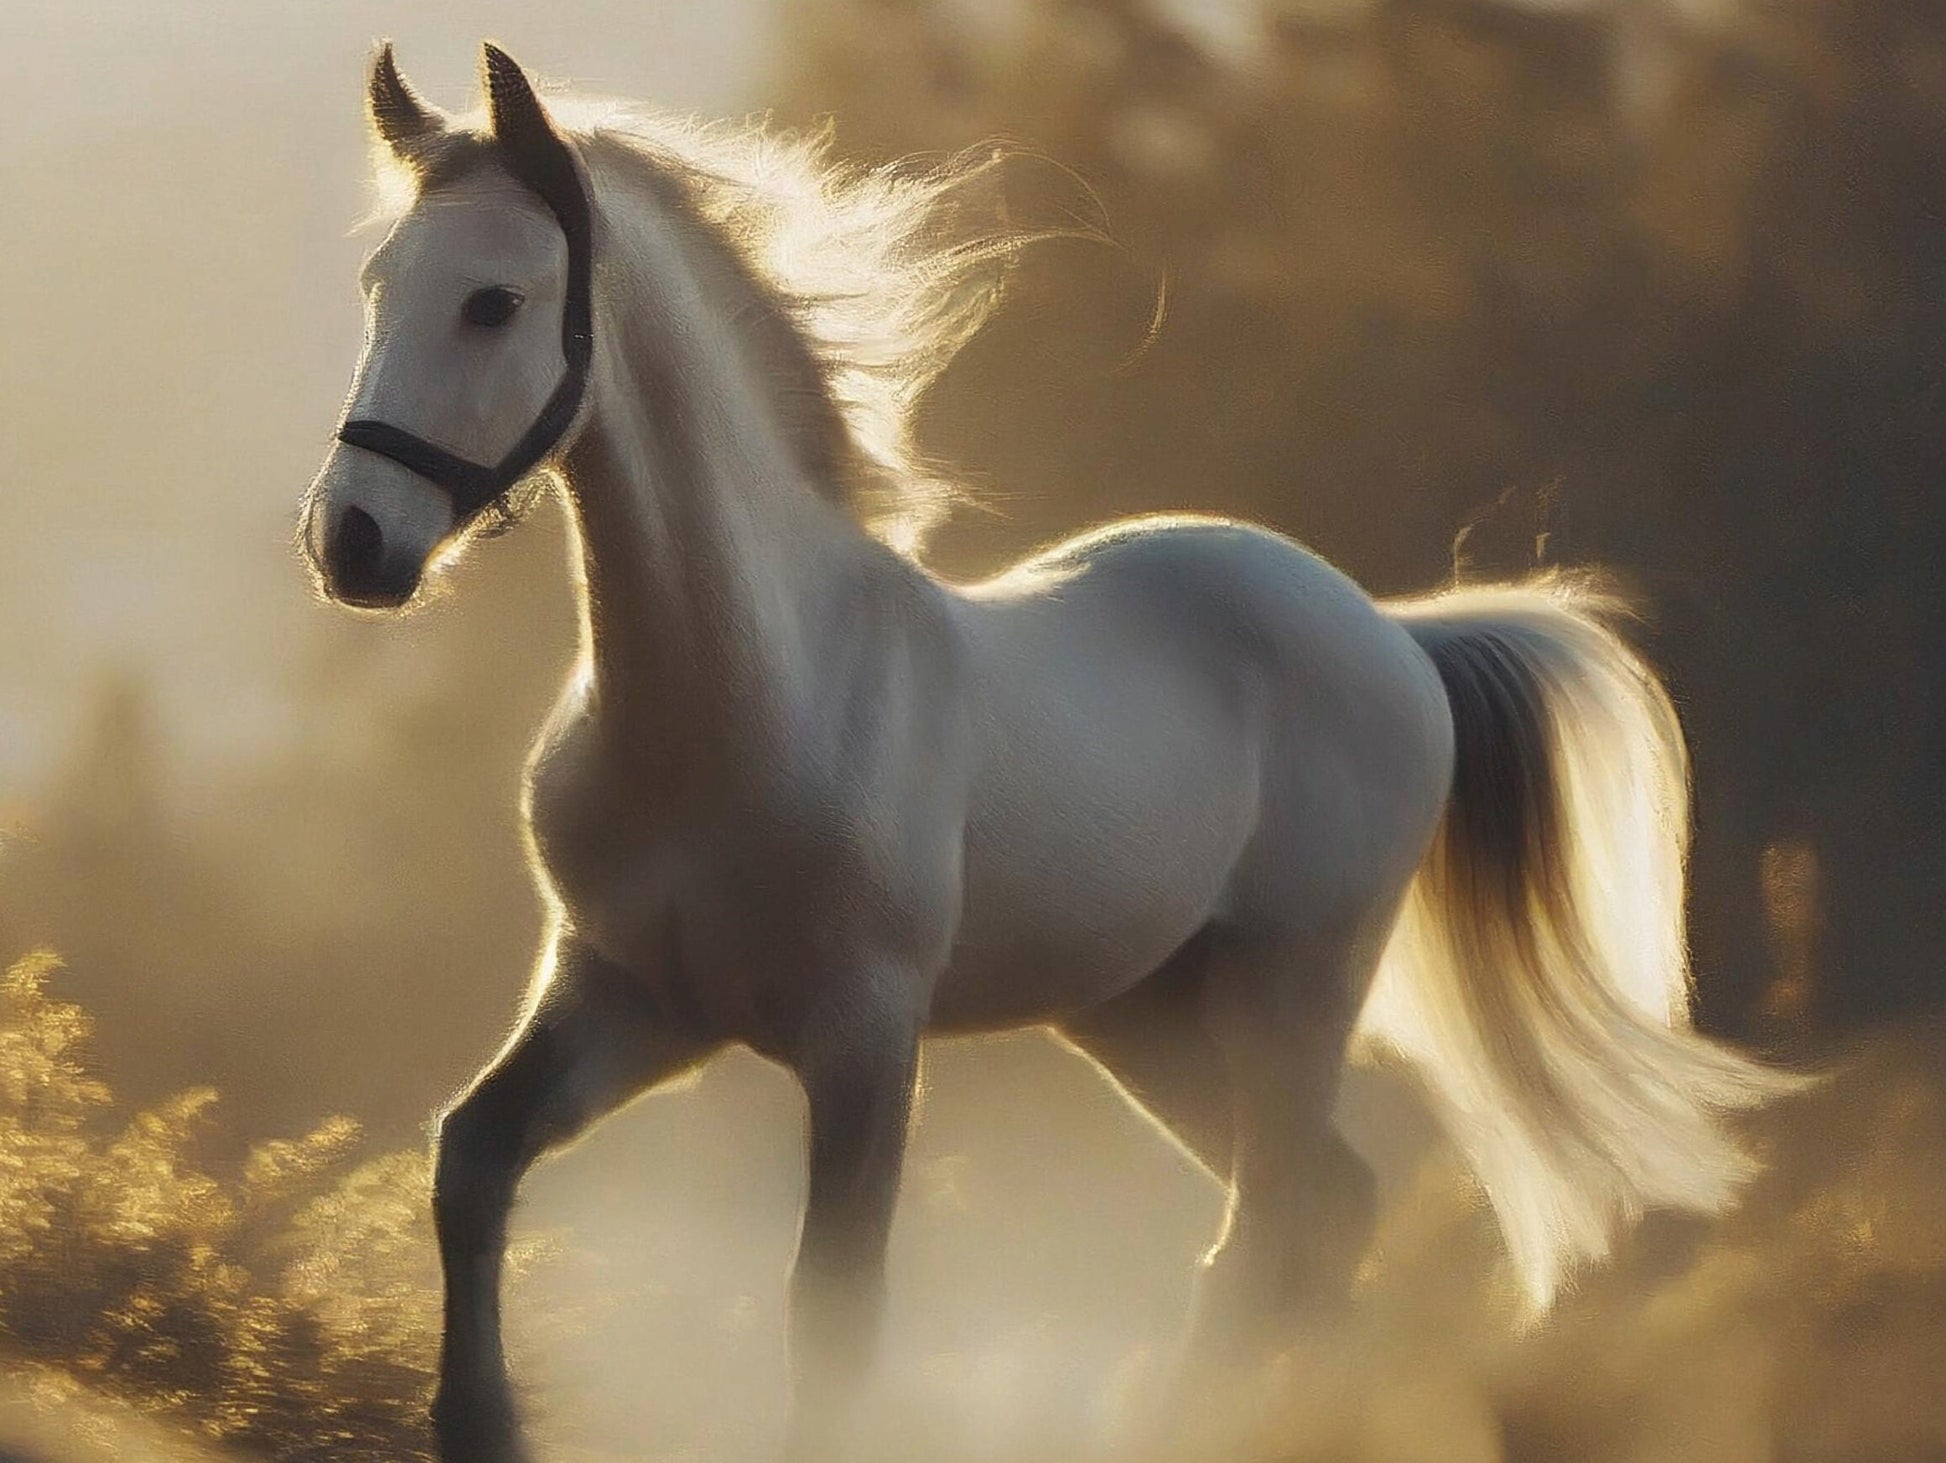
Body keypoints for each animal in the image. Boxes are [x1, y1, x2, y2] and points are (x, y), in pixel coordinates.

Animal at [298, 43, 1796, 1461]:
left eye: (493, 300)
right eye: (375, 282)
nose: (353, 543)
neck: (745, 707)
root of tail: (1392, 632)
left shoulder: (862, 1039)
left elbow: (832, 1317)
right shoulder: (628, 996)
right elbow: (471, 1160)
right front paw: (480, 1422)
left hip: (1294, 988)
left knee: (1264, 1229)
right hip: (1141, 1015)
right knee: (1320, 1209)